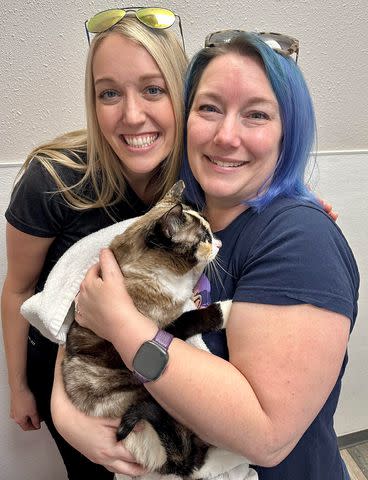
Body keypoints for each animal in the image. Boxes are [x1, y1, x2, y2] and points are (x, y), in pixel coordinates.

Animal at [61, 182, 236, 478]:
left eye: (210, 231)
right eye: (204, 238)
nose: (221, 242)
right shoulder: (162, 328)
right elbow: (190, 317)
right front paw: (226, 309)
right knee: (193, 457)